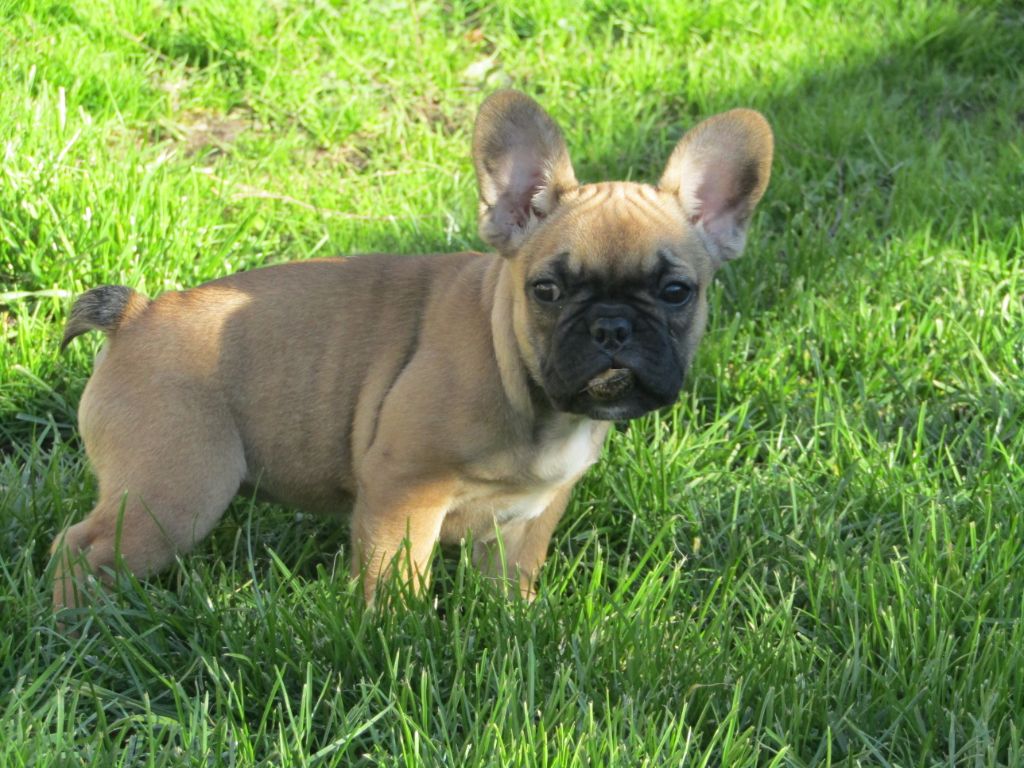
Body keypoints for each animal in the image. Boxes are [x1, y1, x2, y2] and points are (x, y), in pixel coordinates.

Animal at [52, 90, 772, 611]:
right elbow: (395, 581)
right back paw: (76, 626)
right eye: (547, 289)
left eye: (676, 292)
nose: (613, 326)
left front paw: (519, 627)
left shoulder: (530, 516)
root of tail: (137, 316)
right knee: (79, 547)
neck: (528, 389)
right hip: (176, 489)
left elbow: (513, 581)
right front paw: (394, 638)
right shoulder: (403, 490)